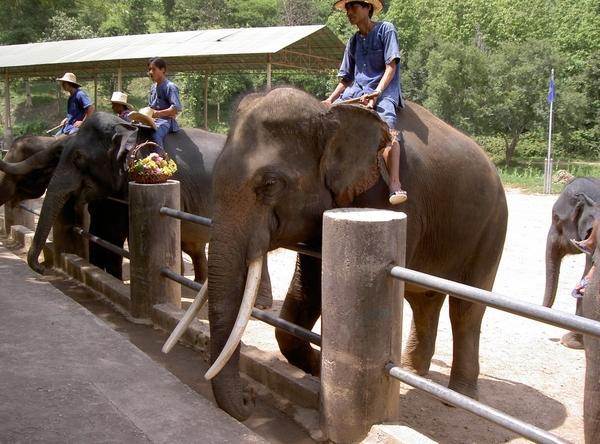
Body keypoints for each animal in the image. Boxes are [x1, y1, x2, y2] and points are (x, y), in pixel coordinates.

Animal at [205, 87, 506, 424]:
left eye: (269, 184)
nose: (250, 396)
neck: (330, 114)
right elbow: (308, 288)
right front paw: (317, 366)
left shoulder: (387, 201)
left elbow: (326, 289)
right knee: (425, 299)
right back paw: (414, 371)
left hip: (492, 225)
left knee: (467, 307)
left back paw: (458, 397)